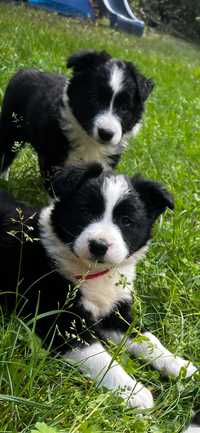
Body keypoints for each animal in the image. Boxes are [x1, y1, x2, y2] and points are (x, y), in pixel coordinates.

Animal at [0, 50, 154, 182]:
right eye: (94, 99)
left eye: (124, 108)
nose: (106, 133)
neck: (90, 140)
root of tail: (23, 71)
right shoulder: (52, 158)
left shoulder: (106, 162)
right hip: (11, 127)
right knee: (7, 153)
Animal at [0, 162, 196, 408]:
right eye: (86, 211)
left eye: (126, 221)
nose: (99, 246)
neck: (93, 272)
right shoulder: (60, 320)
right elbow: (99, 356)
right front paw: (133, 391)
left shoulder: (115, 312)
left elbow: (145, 338)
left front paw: (177, 364)